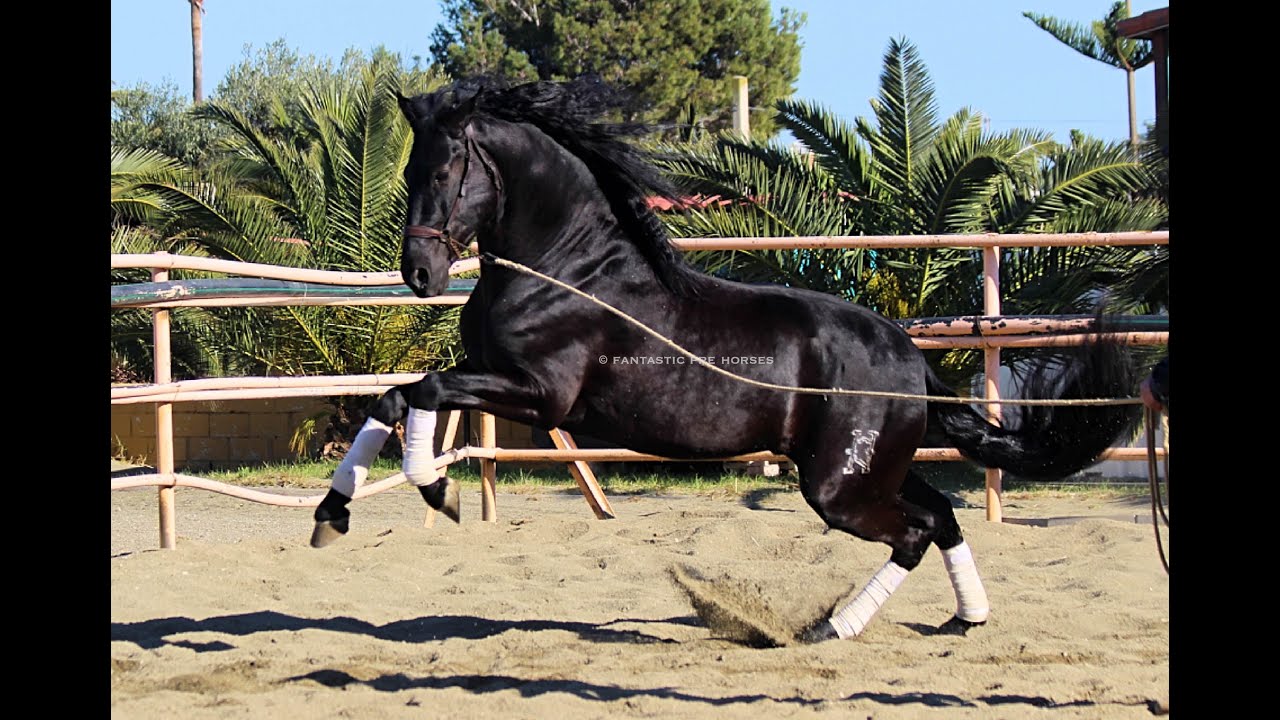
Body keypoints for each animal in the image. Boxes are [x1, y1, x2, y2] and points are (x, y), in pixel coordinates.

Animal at [309, 76, 1141, 643]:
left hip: (837, 485)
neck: (568, 269)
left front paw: (434, 491)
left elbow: (422, 391)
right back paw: (967, 618)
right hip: (875, 467)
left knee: (912, 532)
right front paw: (333, 515)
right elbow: (395, 398)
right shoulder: (499, 386)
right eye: (411, 172)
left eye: (445, 173)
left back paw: (828, 630)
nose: (420, 274)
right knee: (940, 516)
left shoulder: (539, 396)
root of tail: (912, 359)